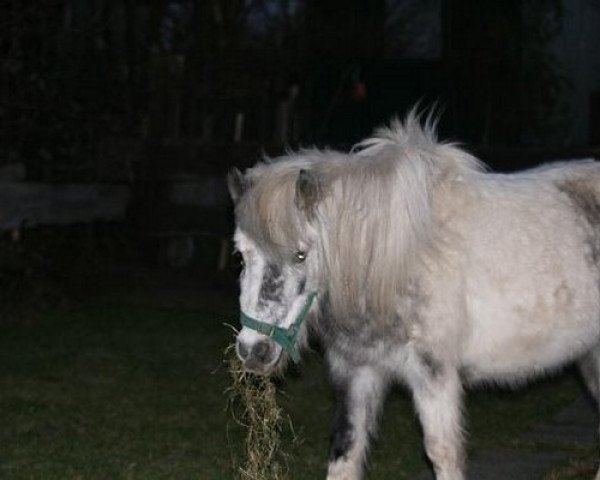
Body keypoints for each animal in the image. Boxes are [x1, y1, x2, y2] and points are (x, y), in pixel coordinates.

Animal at [227, 110, 600, 478]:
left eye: (301, 255)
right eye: (241, 255)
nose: (253, 351)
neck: (392, 262)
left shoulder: (433, 376)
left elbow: (442, 454)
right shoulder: (358, 373)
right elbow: (344, 454)